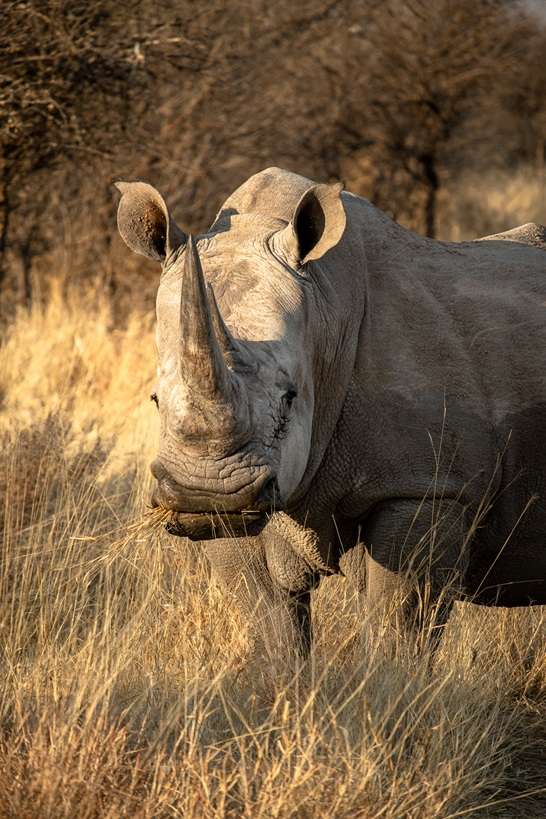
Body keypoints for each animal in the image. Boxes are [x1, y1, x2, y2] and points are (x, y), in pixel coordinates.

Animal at [116, 167, 546, 658]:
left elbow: (401, 627)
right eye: (155, 401)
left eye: (290, 398)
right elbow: (273, 624)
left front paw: (390, 676)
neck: (324, 310)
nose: (206, 493)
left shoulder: (428, 485)